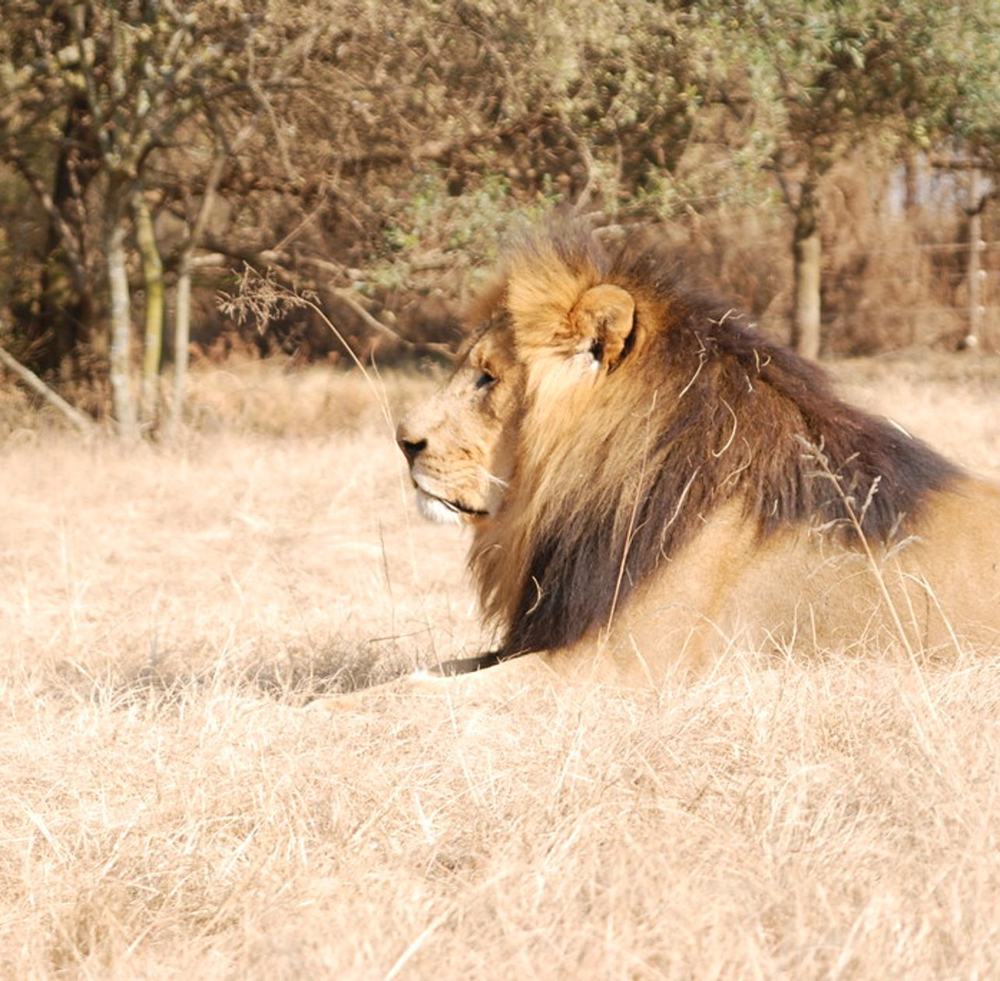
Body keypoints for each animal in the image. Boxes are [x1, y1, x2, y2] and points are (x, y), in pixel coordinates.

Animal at [314, 225, 1000, 708]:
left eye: (487, 377)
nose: (404, 442)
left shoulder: (617, 670)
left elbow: (413, 697)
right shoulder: (552, 638)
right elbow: (423, 674)